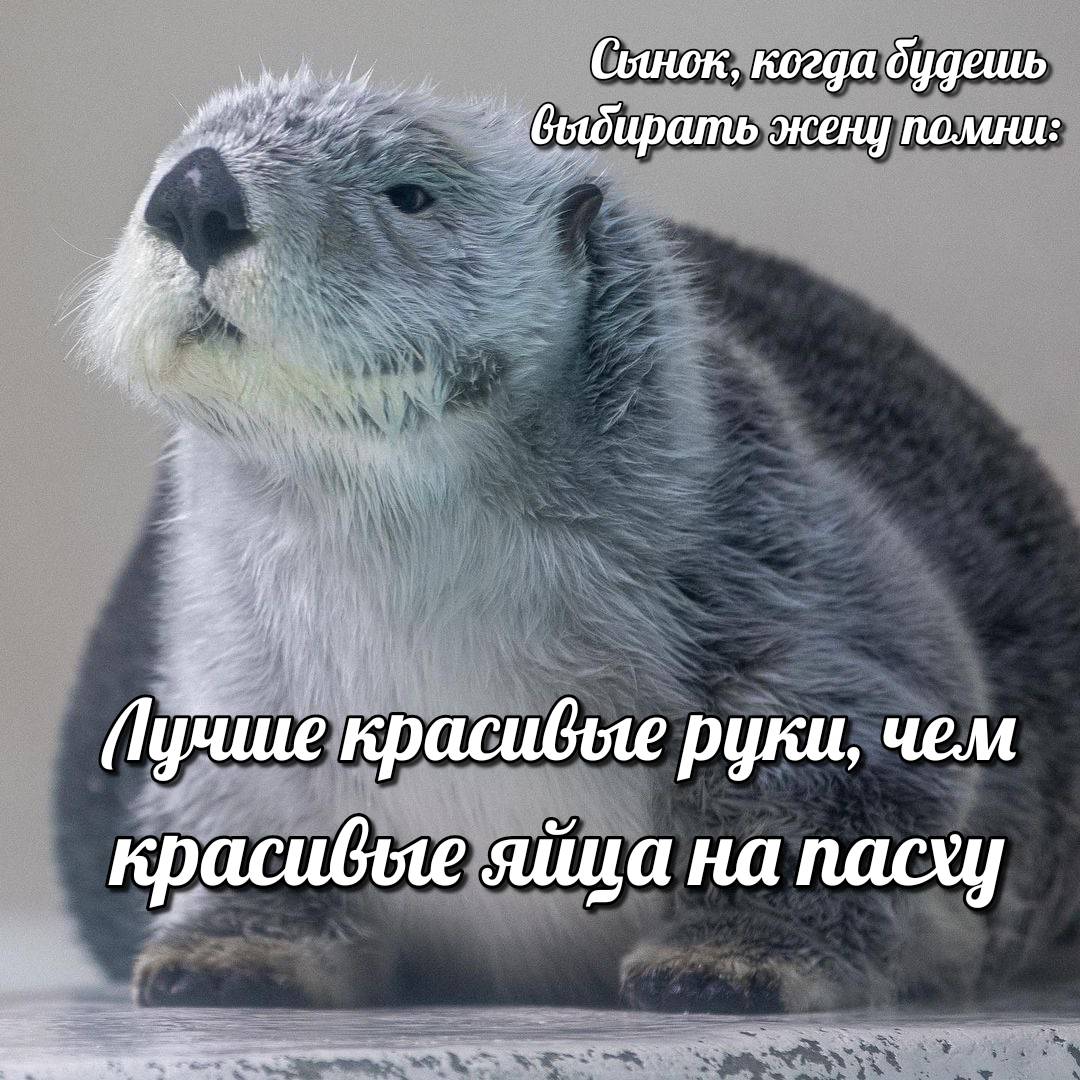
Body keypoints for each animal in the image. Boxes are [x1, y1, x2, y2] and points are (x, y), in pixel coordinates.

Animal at [56, 69, 1080, 1012]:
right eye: (173, 154)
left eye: (411, 193)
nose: (194, 191)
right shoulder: (226, 658)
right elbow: (243, 806)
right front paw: (233, 952)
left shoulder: (785, 563)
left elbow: (844, 774)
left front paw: (730, 962)